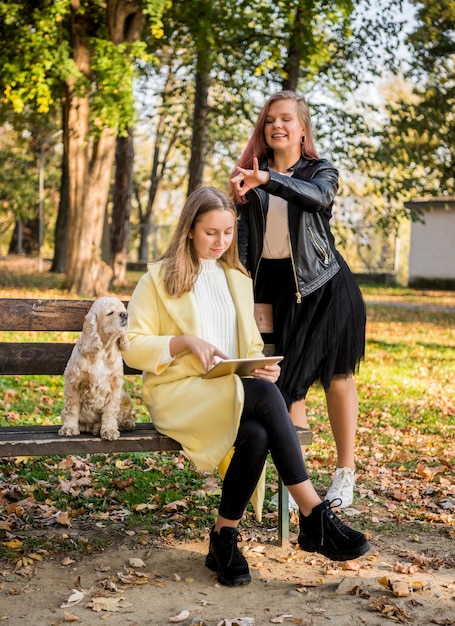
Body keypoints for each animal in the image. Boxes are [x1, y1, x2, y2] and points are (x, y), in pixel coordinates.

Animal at [58, 296, 135, 438]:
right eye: (110, 312)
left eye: (123, 310)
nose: (125, 315)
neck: (103, 351)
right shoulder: (74, 382)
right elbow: (71, 409)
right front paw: (69, 428)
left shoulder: (115, 386)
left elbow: (111, 410)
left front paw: (109, 430)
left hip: (126, 398)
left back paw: (123, 424)